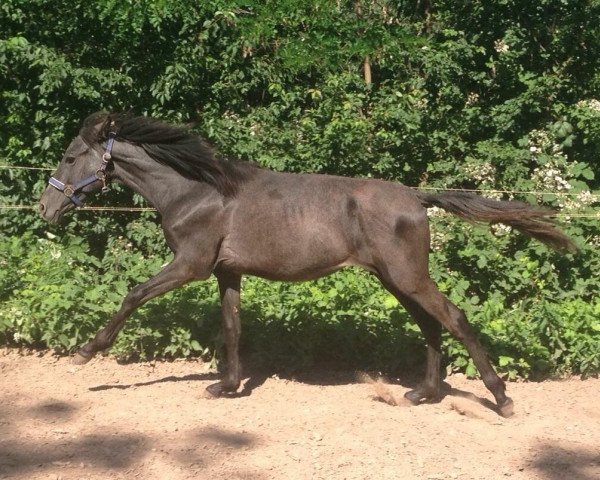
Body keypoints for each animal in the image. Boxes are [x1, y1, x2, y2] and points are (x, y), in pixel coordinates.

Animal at [39, 112, 576, 416]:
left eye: (70, 156)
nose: (46, 207)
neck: (196, 191)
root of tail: (417, 197)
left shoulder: (191, 264)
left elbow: (132, 295)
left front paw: (86, 352)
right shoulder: (226, 271)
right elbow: (232, 327)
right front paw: (226, 386)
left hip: (407, 277)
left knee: (454, 319)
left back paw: (501, 399)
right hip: (396, 280)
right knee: (431, 326)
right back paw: (422, 394)